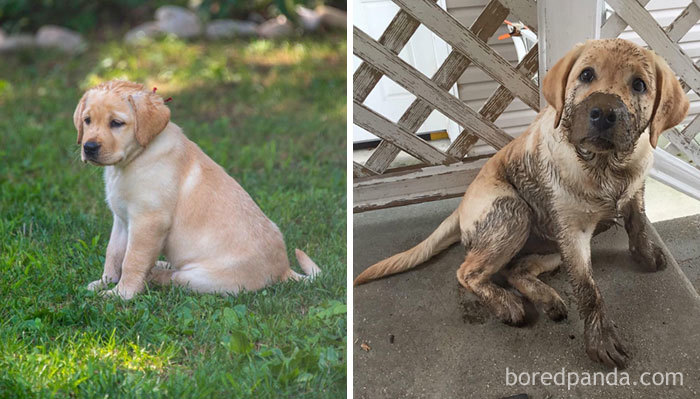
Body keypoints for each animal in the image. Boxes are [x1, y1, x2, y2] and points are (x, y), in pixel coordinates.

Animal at [73, 80, 320, 300]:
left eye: (116, 123)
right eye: (87, 120)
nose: (89, 147)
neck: (133, 160)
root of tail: (284, 268)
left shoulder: (148, 220)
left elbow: (132, 259)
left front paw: (121, 294)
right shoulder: (122, 219)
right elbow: (114, 253)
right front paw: (104, 281)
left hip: (203, 278)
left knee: (174, 277)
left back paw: (154, 274)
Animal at [356, 39, 688, 370]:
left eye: (639, 84)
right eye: (586, 75)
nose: (604, 113)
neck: (606, 166)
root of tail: (460, 207)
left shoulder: (634, 191)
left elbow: (637, 223)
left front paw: (646, 255)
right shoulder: (574, 232)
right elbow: (588, 288)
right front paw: (601, 339)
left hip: (556, 242)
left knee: (516, 269)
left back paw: (546, 299)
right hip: (514, 213)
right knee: (468, 272)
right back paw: (507, 303)